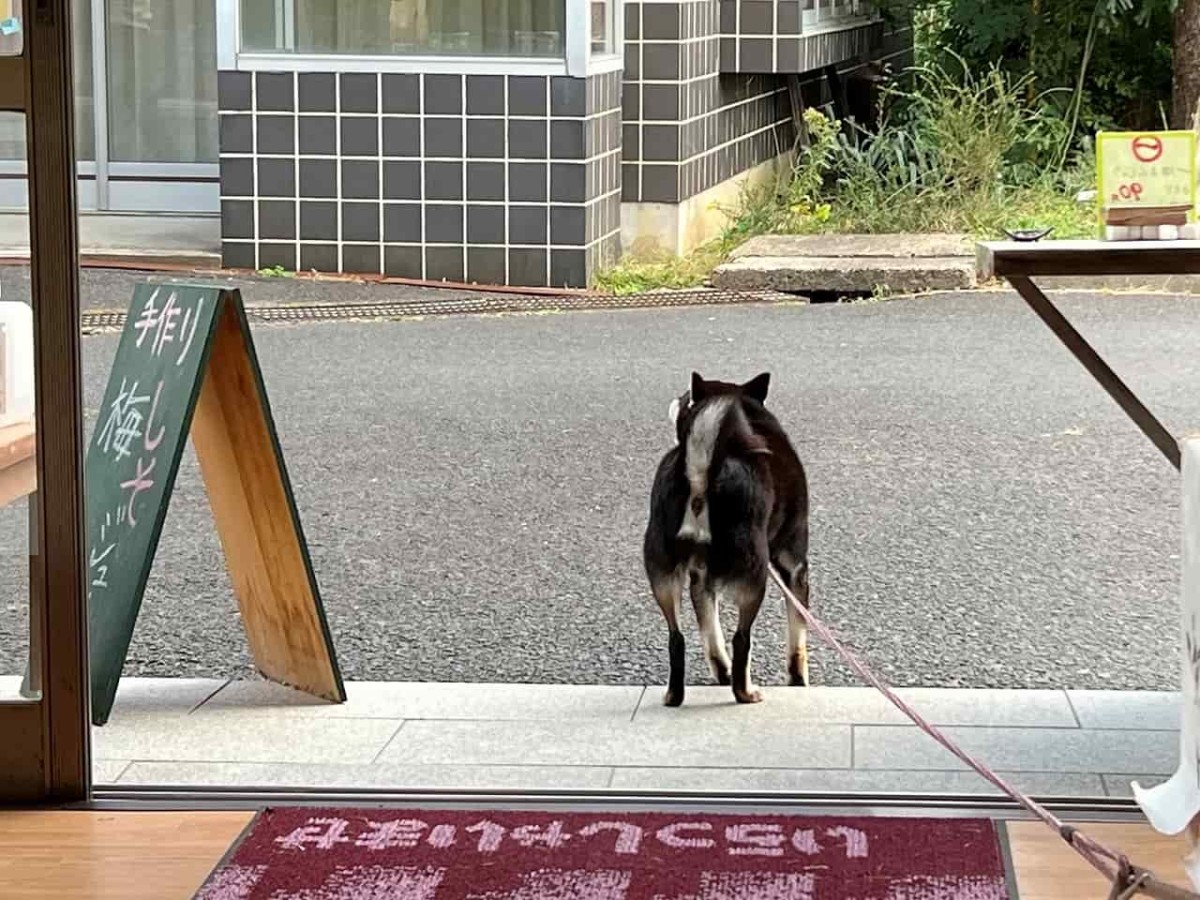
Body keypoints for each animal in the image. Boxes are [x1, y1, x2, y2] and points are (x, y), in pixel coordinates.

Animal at [643, 369, 811, 710]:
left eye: (687, 398)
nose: (676, 398)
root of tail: (700, 475)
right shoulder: (795, 568)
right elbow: (797, 639)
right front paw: (799, 682)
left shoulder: (699, 578)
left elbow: (711, 635)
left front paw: (722, 673)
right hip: (754, 575)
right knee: (742, 639)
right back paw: (744, 692)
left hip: (662, 571)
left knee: (676, 638)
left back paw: (674, 695)